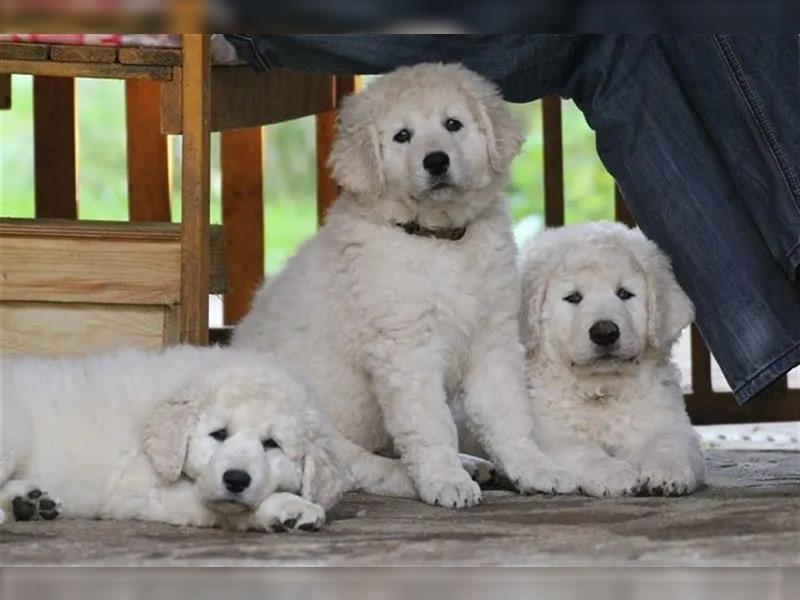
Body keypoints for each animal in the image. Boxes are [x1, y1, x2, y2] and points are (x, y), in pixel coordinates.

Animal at [4, 346, 418, 528]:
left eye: (272, 445)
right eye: (218, 434)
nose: (236, 479)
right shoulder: (146, 490)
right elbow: (231, 510)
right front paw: (289, 508)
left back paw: (28, 502)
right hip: (15, 431)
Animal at [231, 63, 576, 508]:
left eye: (453, 124)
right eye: (402, 136)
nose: (437, 161)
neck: (438, 240)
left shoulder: (492, 338)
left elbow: (508, 413)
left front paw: (536, 468)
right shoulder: (407, 348)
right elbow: (430, 424)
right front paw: (444, 479)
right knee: (357, 467)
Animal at [516, 220, 704, 496]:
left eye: (624, 294)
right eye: (573, 297)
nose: (605, 333)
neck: (602, 389)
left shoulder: (667, 420)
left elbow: (670, 443)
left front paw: (667, 472)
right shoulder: (551, 433)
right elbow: (583, 452)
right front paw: (614, 474)